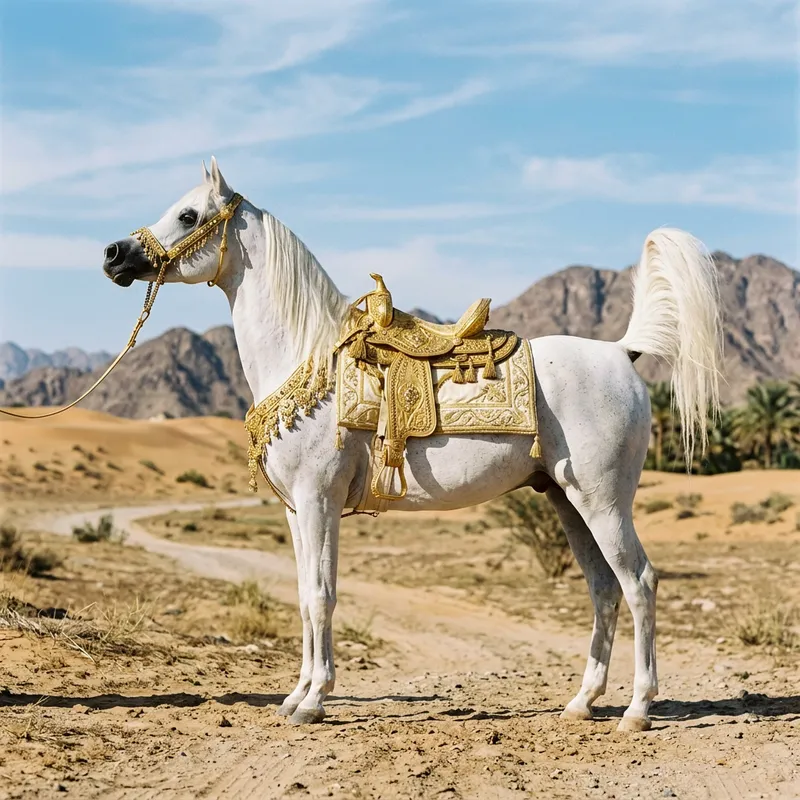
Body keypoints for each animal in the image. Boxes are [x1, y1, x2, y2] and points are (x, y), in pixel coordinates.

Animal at [102, 156, 722, 730]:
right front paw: (295, 697)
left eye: (188, 214)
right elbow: (303, 597)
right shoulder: (296, 511)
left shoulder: (319, 501)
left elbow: (321, 595)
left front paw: (314, 702)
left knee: (638, 583)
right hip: (567, 501)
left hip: (604, 501)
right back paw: (582, 702)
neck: (309, 357)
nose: (113, 254)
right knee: (603, 589)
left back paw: (637, 709)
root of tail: (621, 353)